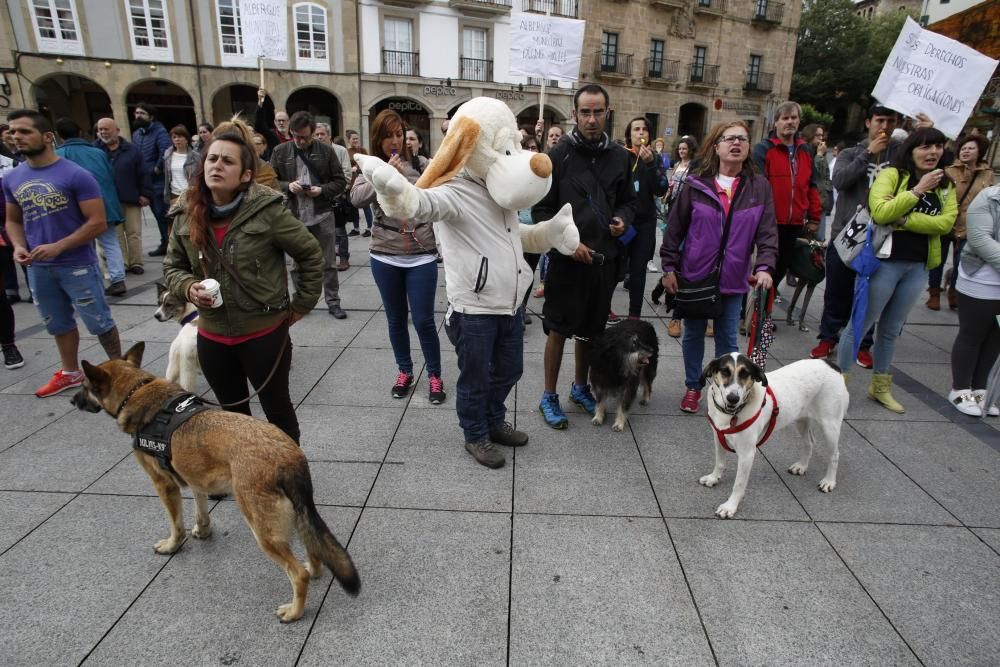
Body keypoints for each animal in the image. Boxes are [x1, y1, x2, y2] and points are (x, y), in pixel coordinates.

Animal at [71, 348, 360, 624]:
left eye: (85, 386)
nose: (72, 400)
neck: (138, 391)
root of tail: (287, 456)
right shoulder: (195, 478)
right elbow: (200, 508)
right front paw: (202, 530)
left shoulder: (164, 485)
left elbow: (176, 523)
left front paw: (172, 545)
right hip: (296, 515)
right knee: (313, 548)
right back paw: (314, 570)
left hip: (262, 530)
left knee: (297, 574)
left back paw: (295, 611)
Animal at [700, 352, 848, 520]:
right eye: (725, 371)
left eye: (745, 374)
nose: (733, 398)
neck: (731, 414)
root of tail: (831, 364)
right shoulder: (718, 437)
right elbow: (719, 463)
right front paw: (713, 478)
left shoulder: (747, 454)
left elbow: (738, 484)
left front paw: (730, 506)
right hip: (801, 419)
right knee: (809, 442)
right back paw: (801, 466)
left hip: (830, 425)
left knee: (834, 455)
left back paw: (829, 481)